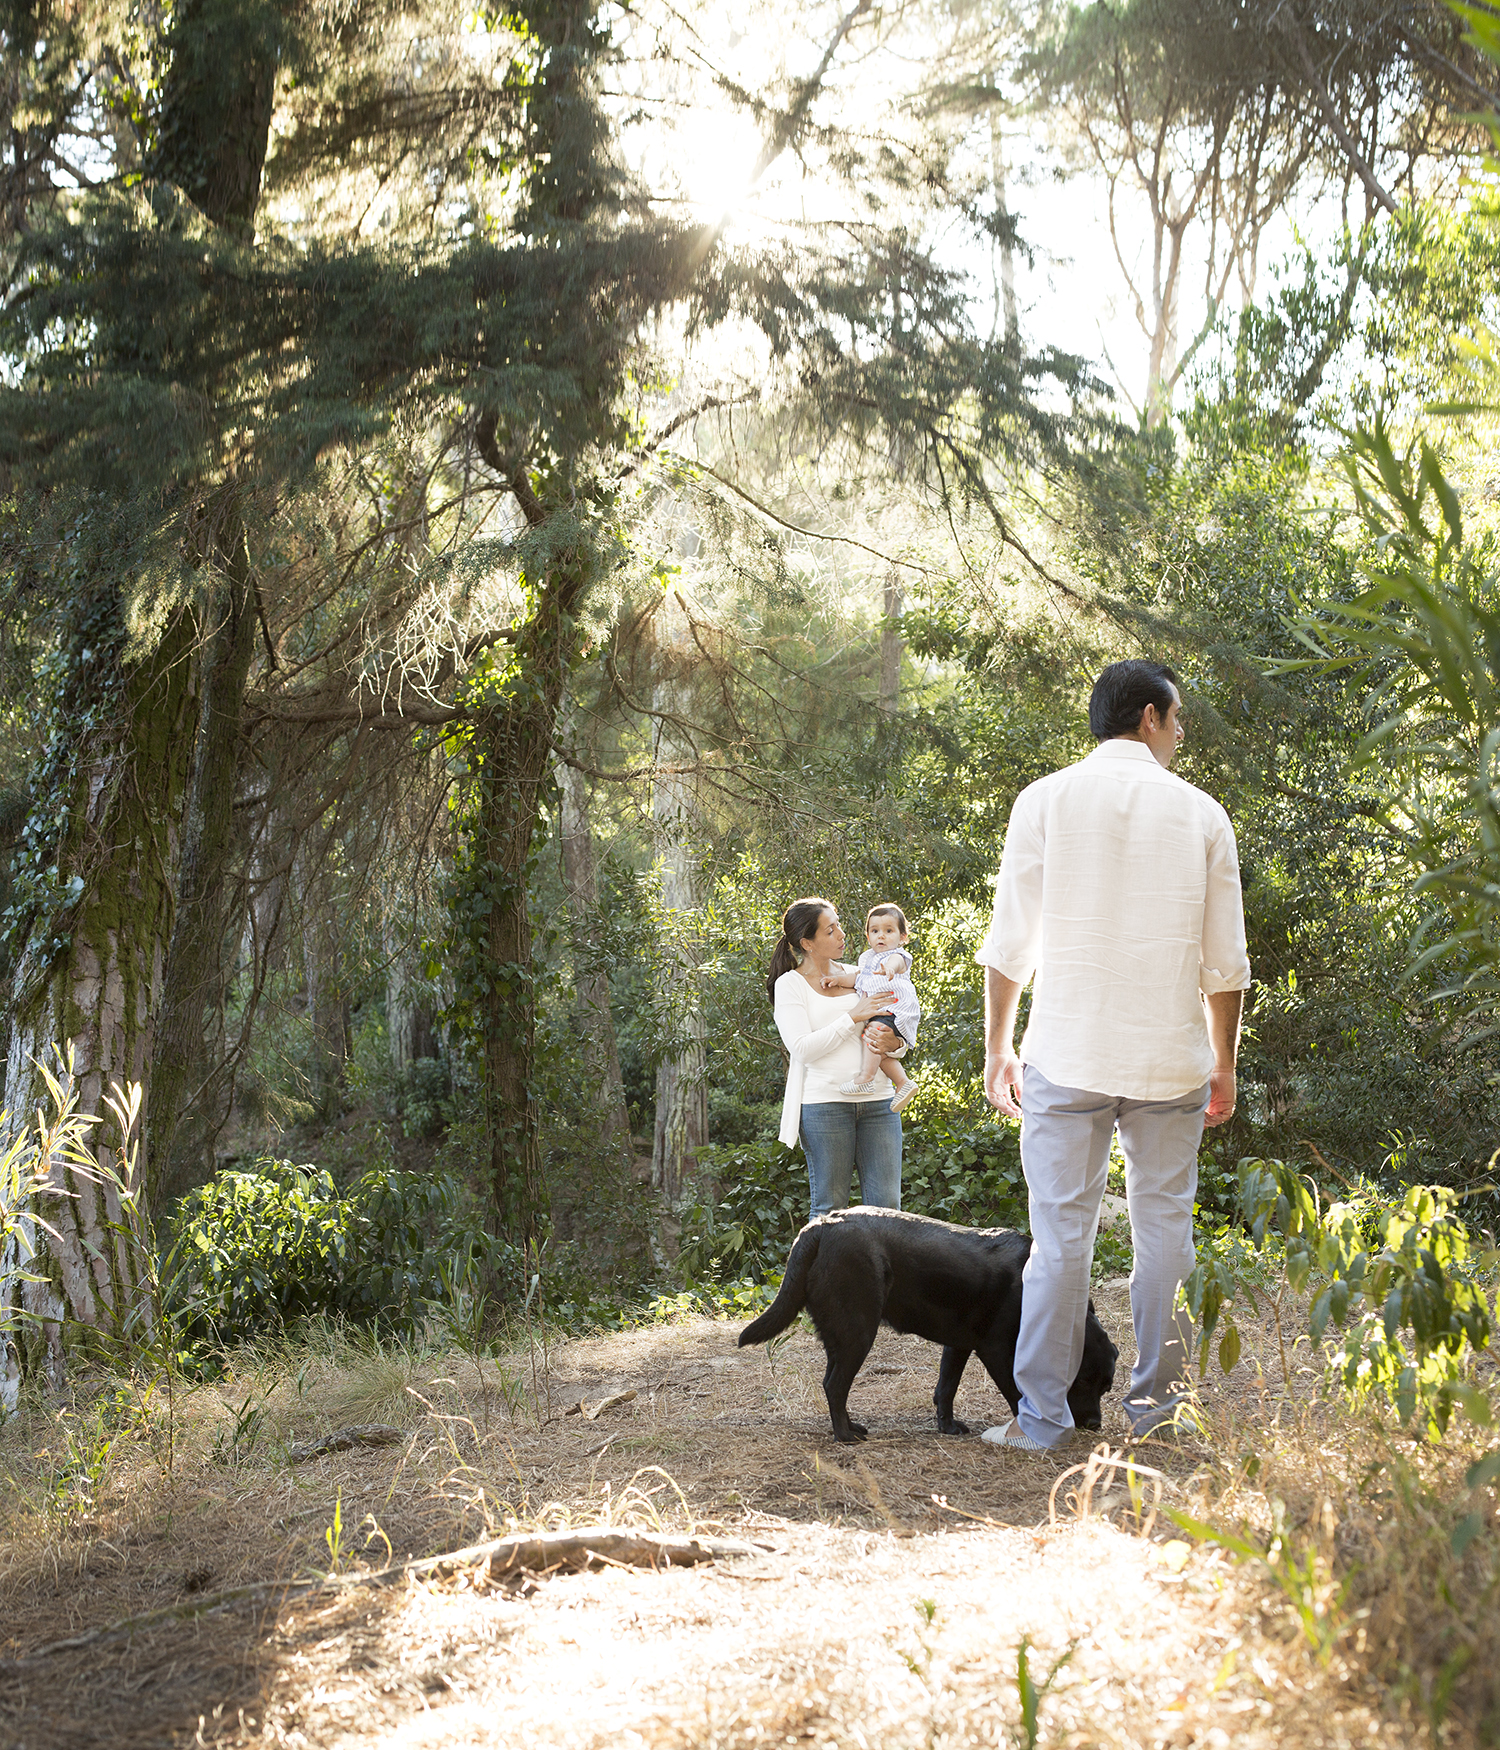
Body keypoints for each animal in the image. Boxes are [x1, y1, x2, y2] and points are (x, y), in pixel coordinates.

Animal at [738, 1211, 1113, 1442]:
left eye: (1106, 1387)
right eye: (1080, 1381)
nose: (1094, 1425)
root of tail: (821, 1226)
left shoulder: (959, 1344)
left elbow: (946, 1387)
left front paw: (946, 1426)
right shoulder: (995, 1350)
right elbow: (1016, 1392)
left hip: (841, 1335)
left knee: (833, 1384)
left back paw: (850, 1425)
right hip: (858, 1331)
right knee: (835, 1385)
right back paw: (844, 1436)